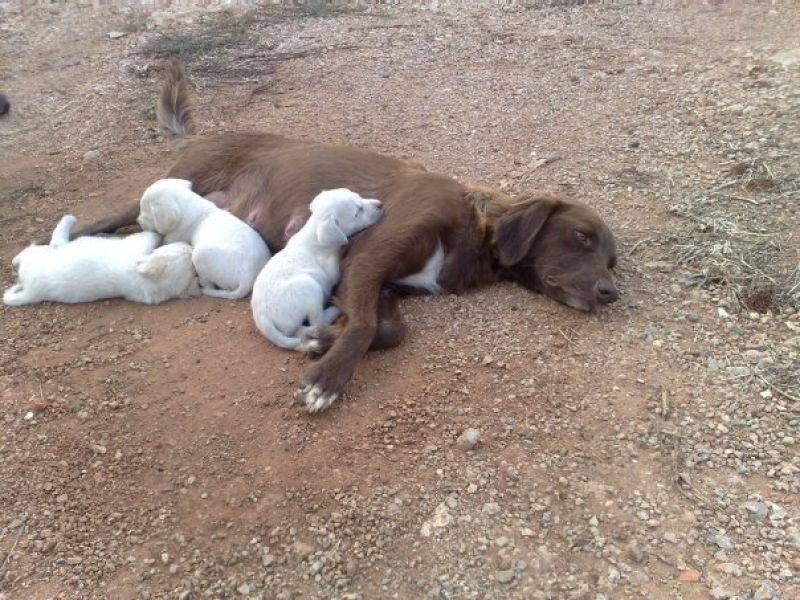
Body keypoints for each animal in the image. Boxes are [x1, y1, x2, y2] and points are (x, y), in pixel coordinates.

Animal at [5, 214, 199, 304]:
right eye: (183, 248)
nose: (191, 247)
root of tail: (32, 291)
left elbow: (150, 235)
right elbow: (152, 236)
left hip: (41, 255)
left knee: (48, 243)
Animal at [138, 178, 272, 300]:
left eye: (145, 211)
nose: (138, 221)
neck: (191, 206)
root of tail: (247, 280)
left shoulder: (175, 236)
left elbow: (166, 241)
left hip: (200, 255)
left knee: (209, 284)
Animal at [253, 190, 384, 360]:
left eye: (359, 196)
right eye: (357, 212)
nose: (380, 204)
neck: (313, 233)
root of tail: (263, 319)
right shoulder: (332, 269)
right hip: (310, 287)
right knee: (316, 322)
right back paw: (333, 311)